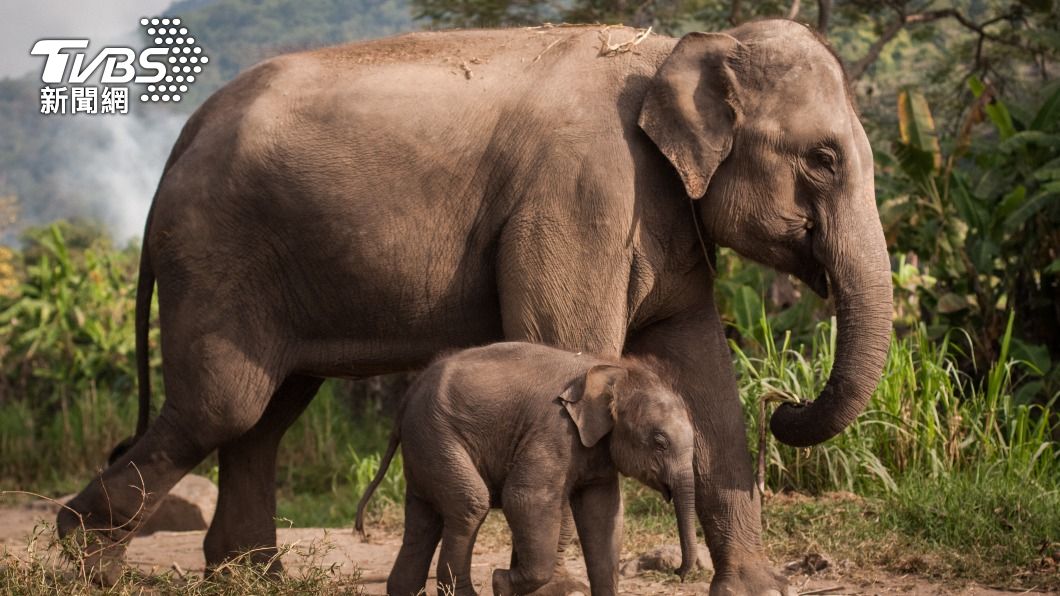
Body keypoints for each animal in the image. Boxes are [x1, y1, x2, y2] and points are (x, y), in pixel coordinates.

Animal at [354, 342, 698, 596]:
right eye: (660, 442)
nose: (679, 572)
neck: (612, 369)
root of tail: (409, 396)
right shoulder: (553, 429)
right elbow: (525, 498)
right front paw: (500, 582)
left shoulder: (595, 450)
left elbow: (603, 514)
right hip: (436, 436)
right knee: (469, 503)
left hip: (423, 446)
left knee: (423, 518)